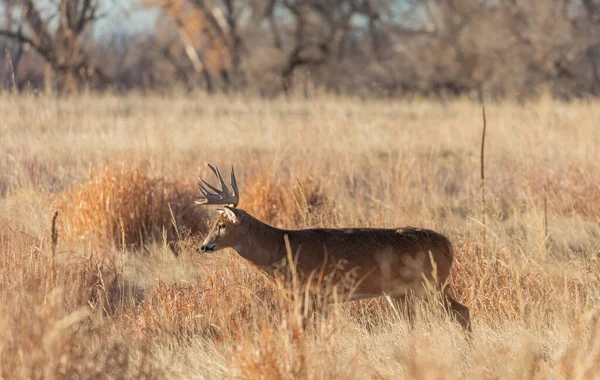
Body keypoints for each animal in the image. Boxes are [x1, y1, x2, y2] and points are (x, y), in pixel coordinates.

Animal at [195, 165, 472, 332]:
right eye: (214, 224)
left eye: (221, 225)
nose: (204, 246)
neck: (281, 249)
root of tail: (448, 244)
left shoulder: (311, 292)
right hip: (400, 293)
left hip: (432, 283)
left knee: (462, 311)